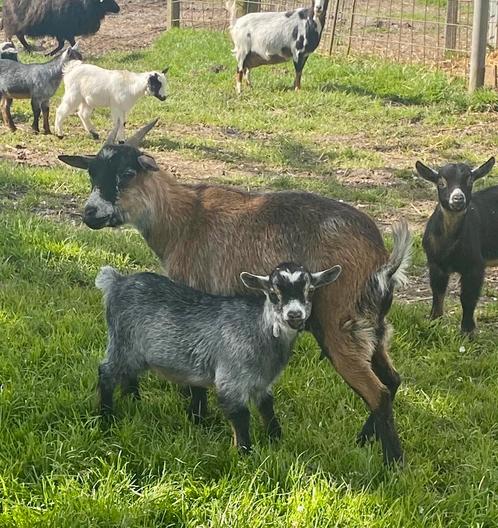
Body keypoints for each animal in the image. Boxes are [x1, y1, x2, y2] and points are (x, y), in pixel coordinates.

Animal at [95, 262, 340, 452]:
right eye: (273, 294)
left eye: (310, 291)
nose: (294, 315)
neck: (258, 329)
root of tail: (116, 281)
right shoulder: (231, 377)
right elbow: (240, 414)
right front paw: (245, 452)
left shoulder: (262, 382)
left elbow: (267, 407)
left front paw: (276, 439)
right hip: (123, 342)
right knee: (106, 372)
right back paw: (106, 417)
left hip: (135, 353)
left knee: (129, 375)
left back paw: (133, 400)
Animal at [416, 157, 498, 336]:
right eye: (441, 182)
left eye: (470, 181)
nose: (458, 199)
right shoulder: (435, 264)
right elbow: (438, 293)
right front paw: (434, 323)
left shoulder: (475, 266)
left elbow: (468, 298)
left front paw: (467, 332)